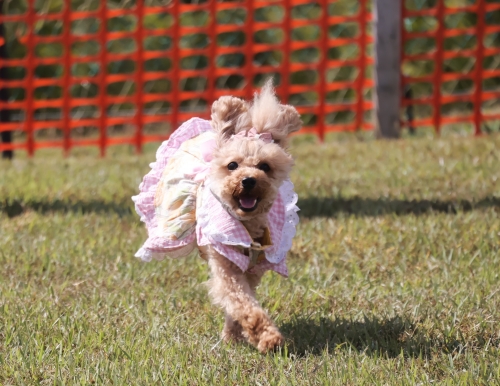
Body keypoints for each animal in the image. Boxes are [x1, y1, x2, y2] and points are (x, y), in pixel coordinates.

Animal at [133, 80, 300, 352]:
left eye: (264, 166)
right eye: (232, 165)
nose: (248, 180)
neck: (246, 226)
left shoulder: (253, 270)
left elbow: (241, 302)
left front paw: (235, 334)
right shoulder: (226, 265)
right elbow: (241, 302)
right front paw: (266, 337)